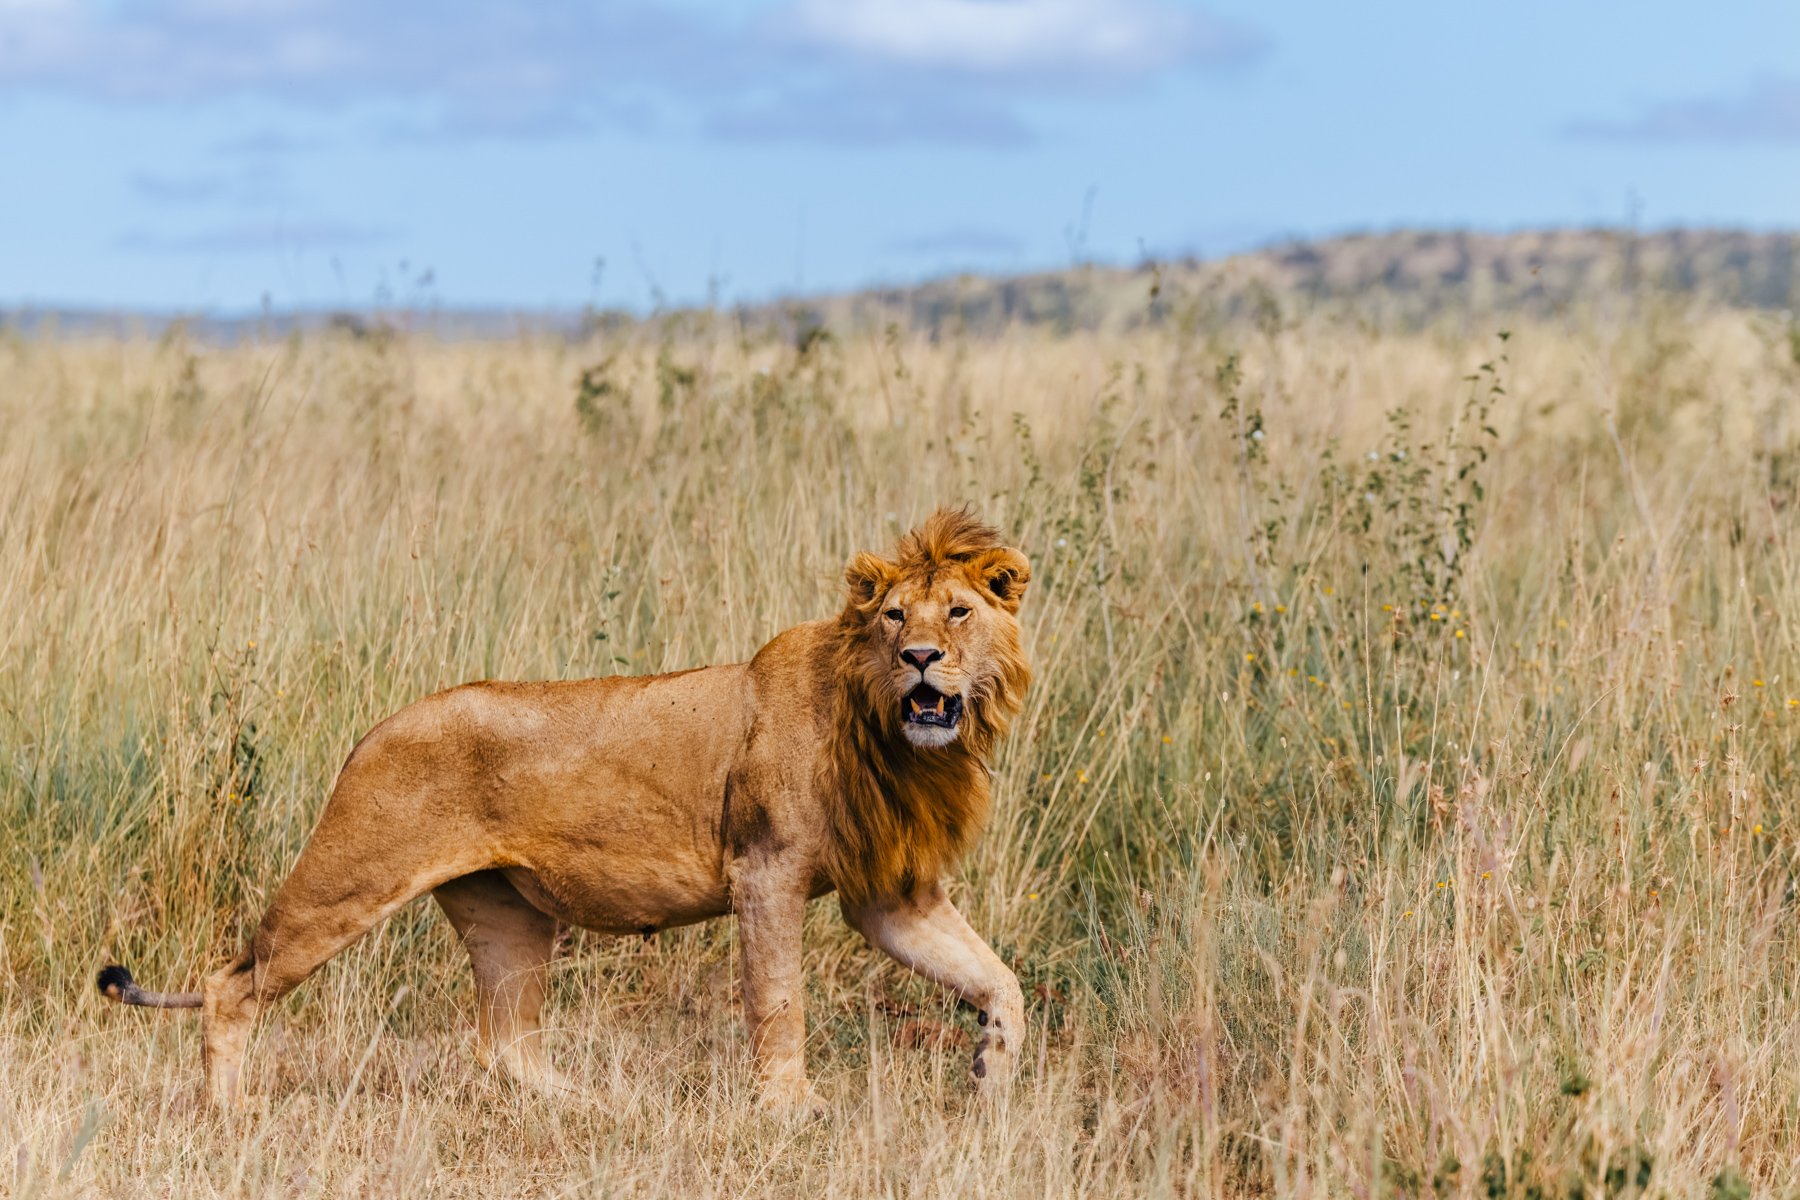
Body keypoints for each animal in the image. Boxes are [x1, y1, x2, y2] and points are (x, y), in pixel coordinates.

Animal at [98, 508, 1032, 1109]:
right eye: (893, 618)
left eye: (958, 611)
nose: (920, 659)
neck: (891, 740)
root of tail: (375, 730)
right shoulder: (764, 870)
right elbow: (779, 1001)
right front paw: (789, 1108)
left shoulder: (889, 894)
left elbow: (999, 978)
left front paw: (991, 1073)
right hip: (348, 878)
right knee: (230, 985)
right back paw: (228, 1116)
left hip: (506, 916)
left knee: (507, 1046)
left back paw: (604, 1108)